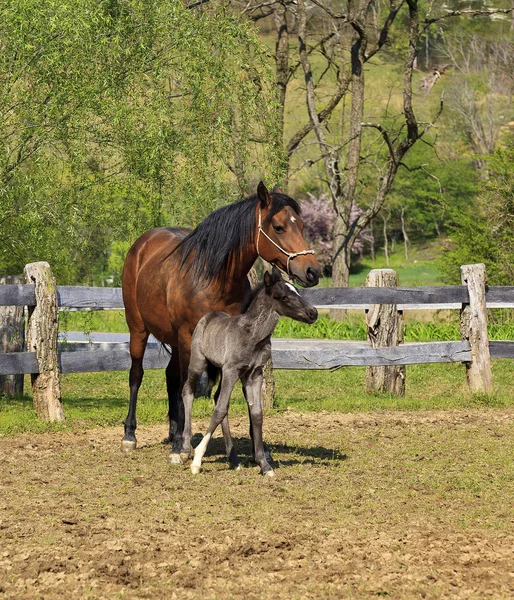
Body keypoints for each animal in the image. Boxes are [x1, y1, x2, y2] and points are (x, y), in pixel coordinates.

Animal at [180, 264, 316, 476]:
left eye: (297, 291)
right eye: (282, 297)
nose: (313, 313)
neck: (253, 336)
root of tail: (208, 317)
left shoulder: (254, 374)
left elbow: (256, 414)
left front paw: (264, 464)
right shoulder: (232, 370)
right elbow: (219, 411)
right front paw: (197, 460)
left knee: (217, 397)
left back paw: (234, 459)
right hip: (198, 362)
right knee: (188, 391)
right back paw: (184, 449)